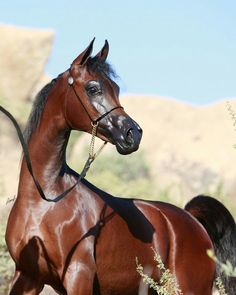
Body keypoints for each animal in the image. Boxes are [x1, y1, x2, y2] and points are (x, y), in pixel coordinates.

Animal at [5, 40, 236, 295]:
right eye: (93, 88)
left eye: (115, 88)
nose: (133, 134)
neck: (45, 201)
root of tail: (192, 219)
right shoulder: (27, 276)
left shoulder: (78, 275)